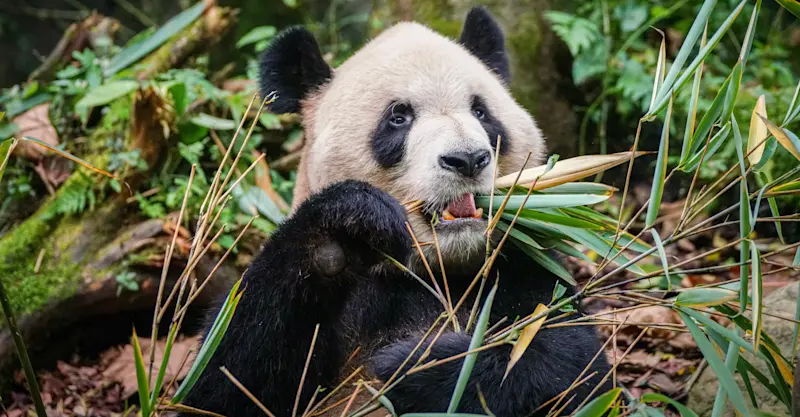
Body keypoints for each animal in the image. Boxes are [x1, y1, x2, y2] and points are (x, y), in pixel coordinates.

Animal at [180, 7, 611, 417]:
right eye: (399, 117)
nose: (467, 159)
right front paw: (349, 222)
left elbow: (563, 361)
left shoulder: (521, 265)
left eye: (481, 112)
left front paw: (414, 364)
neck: (436, 269)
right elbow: (224, 381)